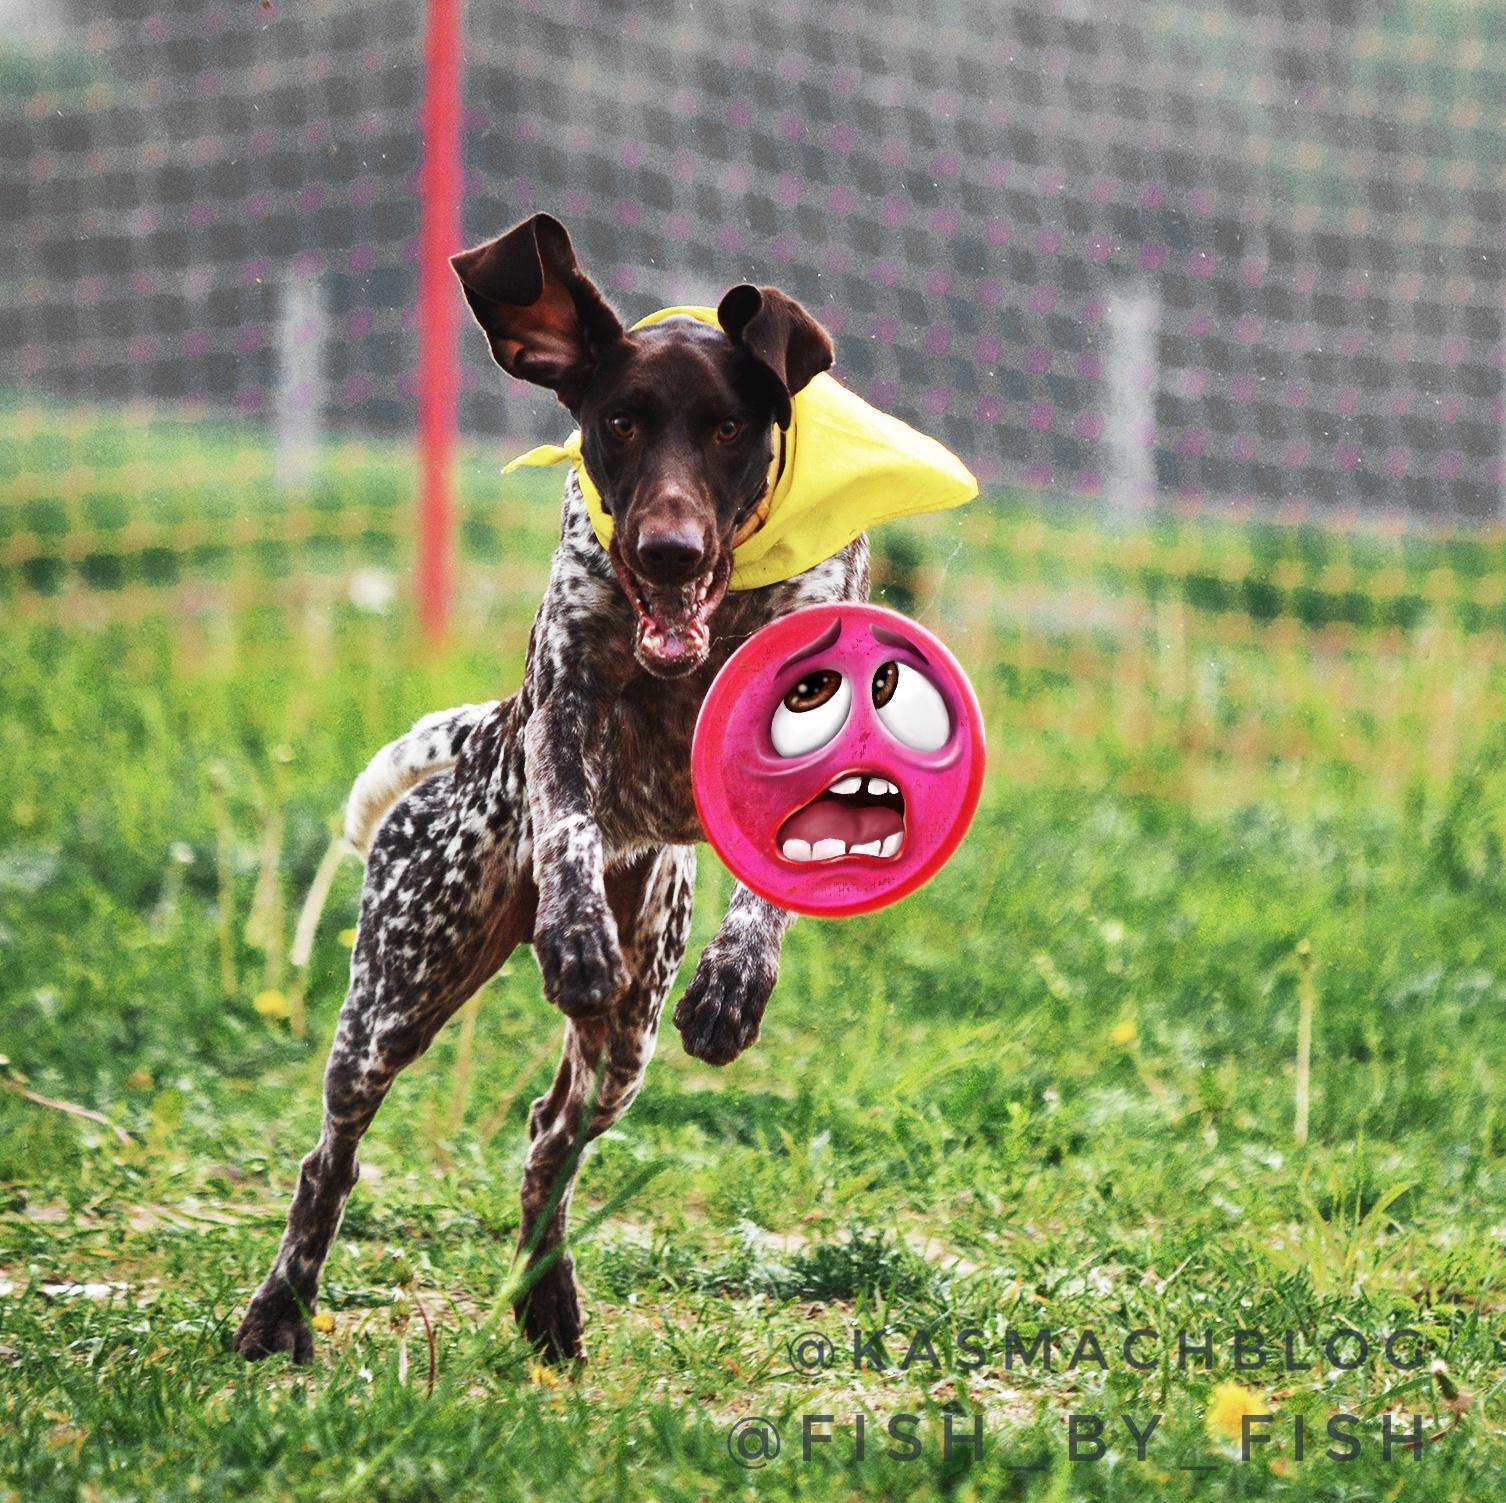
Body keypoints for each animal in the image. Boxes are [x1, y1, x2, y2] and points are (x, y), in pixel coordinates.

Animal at [234, 218, 873, 1373]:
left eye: (726, 428)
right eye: (620, 421)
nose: (668, 551)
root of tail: (474, 736)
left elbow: (772, 891)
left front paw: (737, 980)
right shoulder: (569, 698)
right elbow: (572, 821)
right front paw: (575, 933)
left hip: (626, 1039)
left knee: (549, 1137)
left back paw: (548, 1298)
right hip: (394, 996)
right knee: (331, 1160)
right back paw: (281, 1309)